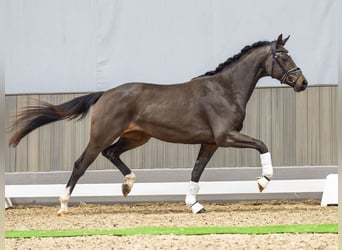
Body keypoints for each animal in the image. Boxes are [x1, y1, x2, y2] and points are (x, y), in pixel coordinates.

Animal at [9, 34, 308, 215]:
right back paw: (63, 205)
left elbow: (196, 172)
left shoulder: (210, 142)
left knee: (111, 153)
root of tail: (105, 94)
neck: (225, 89)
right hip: (102, 136)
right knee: (81, 163)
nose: (303, 83)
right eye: (283, 57)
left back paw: (128, 185)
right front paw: (263, 181)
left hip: (137, 137)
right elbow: (262, 144)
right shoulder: (226, 136)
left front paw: (194, 205)